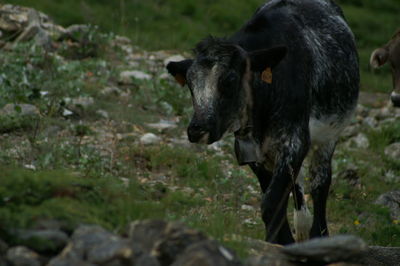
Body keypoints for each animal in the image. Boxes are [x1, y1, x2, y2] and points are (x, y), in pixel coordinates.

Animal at [166, 0, 360, 245]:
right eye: (190, 84)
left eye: (229, 80)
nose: (197, 129)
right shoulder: (252, 153)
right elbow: (274, 202)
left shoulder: (295, 142)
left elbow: (271, 203)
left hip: (328, 137)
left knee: (320, 183)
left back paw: (319, 234)